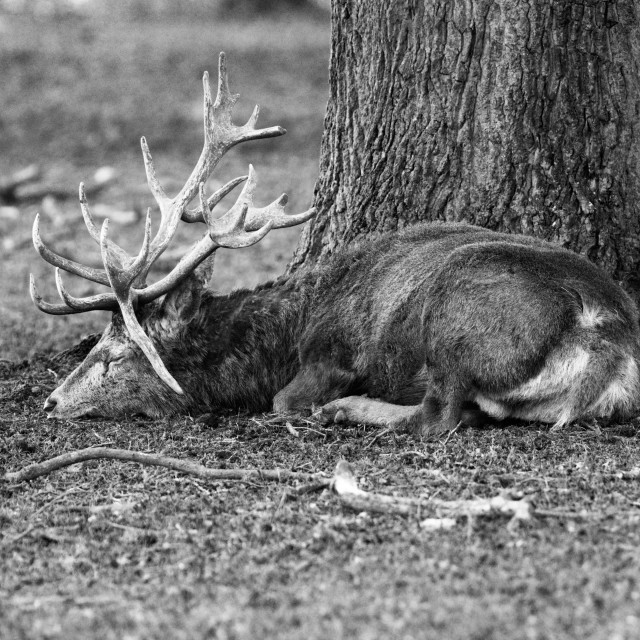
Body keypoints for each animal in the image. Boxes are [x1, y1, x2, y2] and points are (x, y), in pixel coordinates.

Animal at [31, 55, 640, 438]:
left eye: (114, 356)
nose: (50, 401)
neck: (283, 339)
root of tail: (606, 337)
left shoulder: (331, 353)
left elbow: (285, 400)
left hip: (458, 319)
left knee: (438, 415)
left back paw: (346, 410)